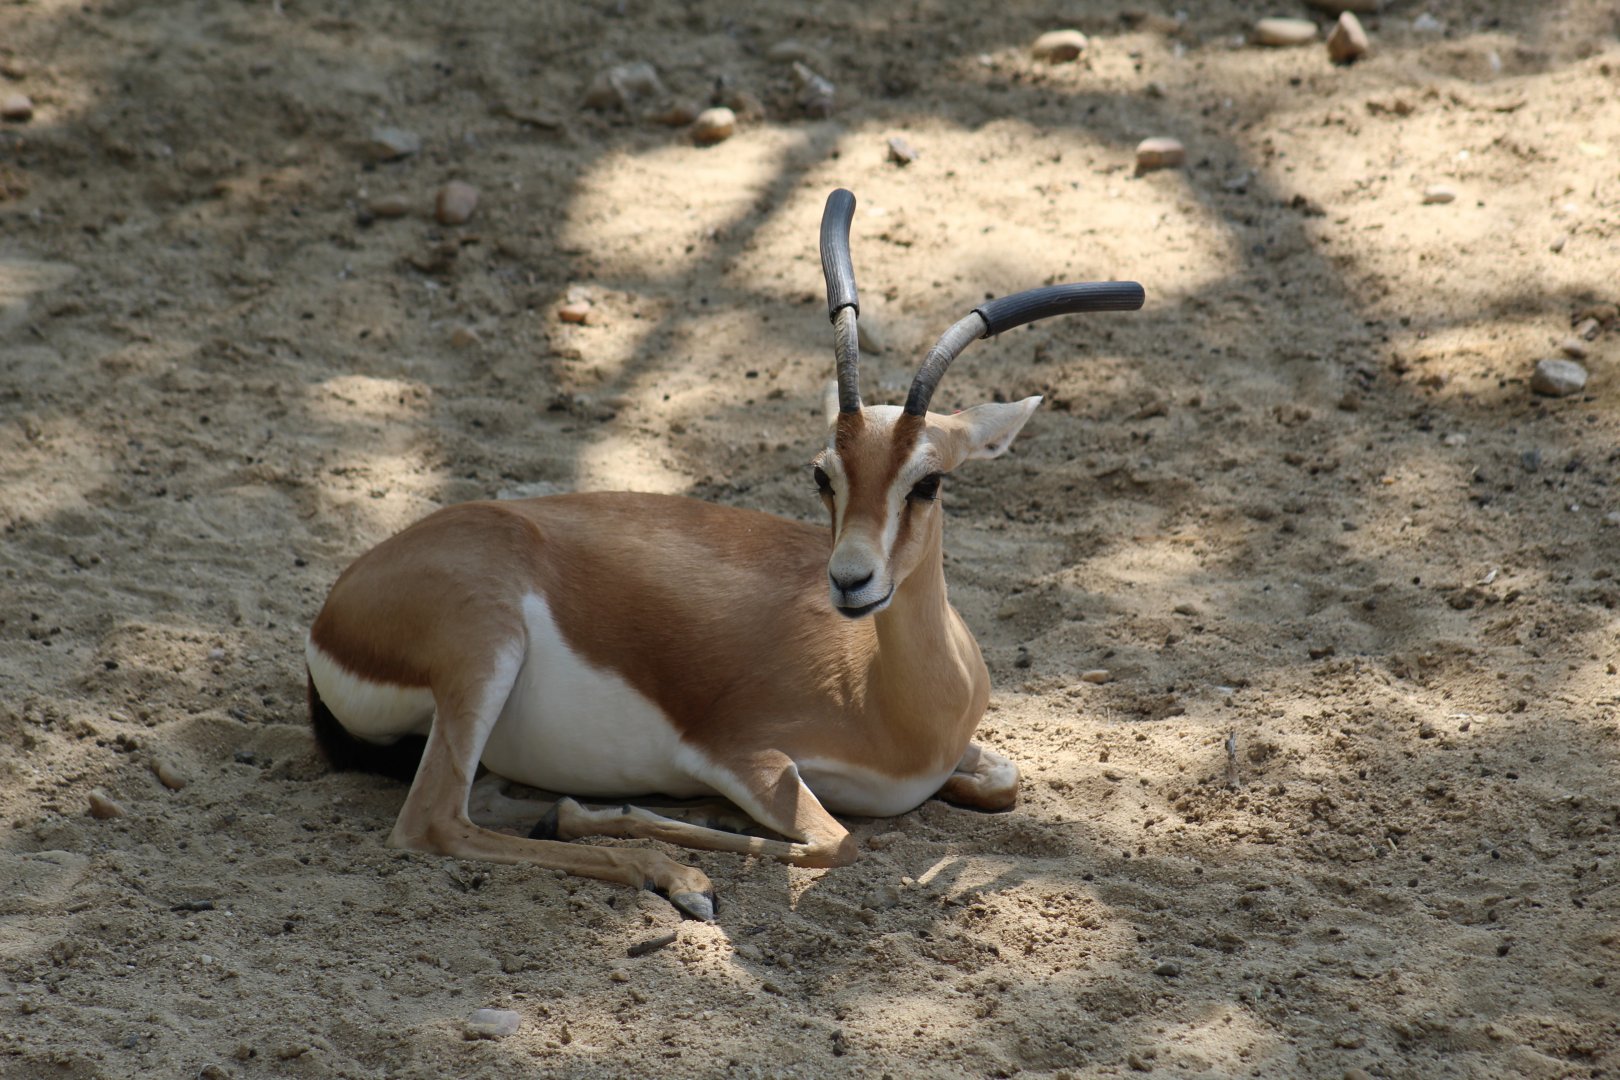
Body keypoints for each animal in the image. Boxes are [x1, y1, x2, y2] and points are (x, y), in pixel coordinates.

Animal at [306, 190, 1143, 920]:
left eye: (928, 481)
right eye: (823, 473)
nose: (850, 581)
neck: (888, 701)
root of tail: (334, 612)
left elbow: (1001, 781)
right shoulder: (745, 757)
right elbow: (835, 843)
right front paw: (608, 815)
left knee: (476, 801)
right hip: (485, 648)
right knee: (435, 821)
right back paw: (674, 876)